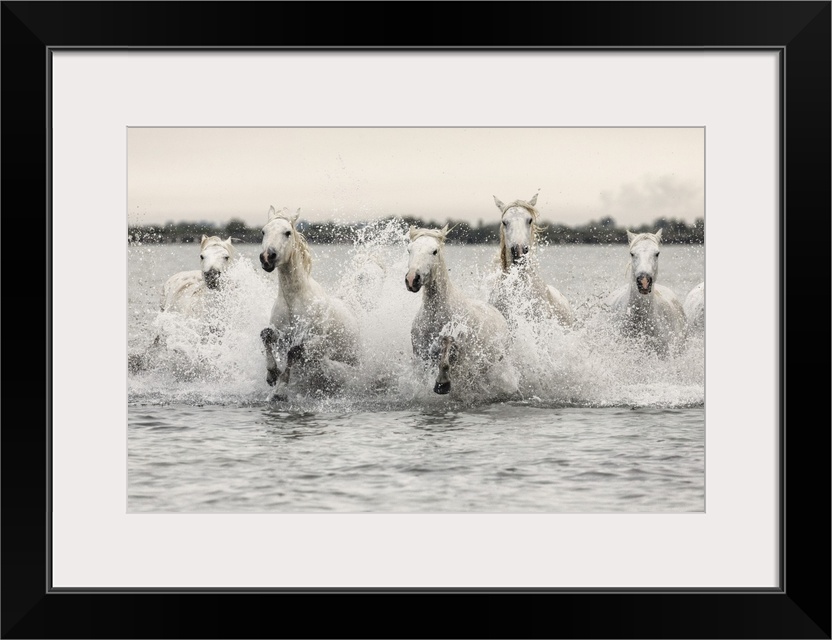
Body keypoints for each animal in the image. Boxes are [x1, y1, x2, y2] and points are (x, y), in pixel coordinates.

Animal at [259, 205, 360, 400]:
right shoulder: (282, 335)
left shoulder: (317, 342)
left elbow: (294, 351)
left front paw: (281, 389)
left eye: (287, 232)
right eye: (263, 231)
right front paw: (271, 374)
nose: (267, 257)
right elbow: (265, 334)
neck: (294, 300)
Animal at [405, 225, 517, 398]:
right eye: (409, 250)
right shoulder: (421, 355)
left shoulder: (461, 358)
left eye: (435, 251)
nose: (412, 279)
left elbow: (445, 361)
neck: (436, 315)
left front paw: (442, 383)